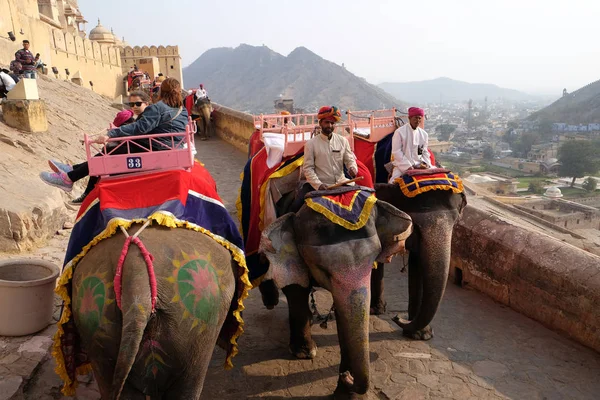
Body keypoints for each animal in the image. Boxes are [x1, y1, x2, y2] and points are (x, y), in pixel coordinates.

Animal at [258, 192, 412, 398]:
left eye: (373, 260)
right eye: (323, 270)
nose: (348, 376)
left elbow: (344, 314)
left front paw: (347, 393)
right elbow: (295, 290)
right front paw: (305, 353)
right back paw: (271, 301)